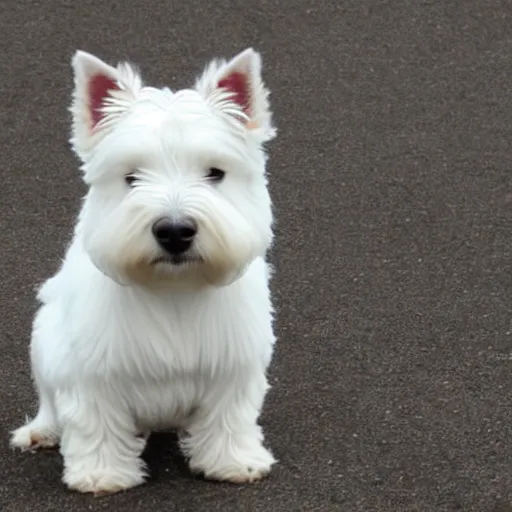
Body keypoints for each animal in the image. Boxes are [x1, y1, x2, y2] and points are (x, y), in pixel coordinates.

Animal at [10, 47, 278, 496]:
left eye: (215, 173)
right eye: (131, 177)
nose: (174, 231)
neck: (173, 289)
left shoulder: (233, 361)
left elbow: (230, 415)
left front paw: (233, 461)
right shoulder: (90, 370)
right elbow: (94, 422)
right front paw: (101, 474)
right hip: (44, 338)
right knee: (49, 403)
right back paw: (40, 432)